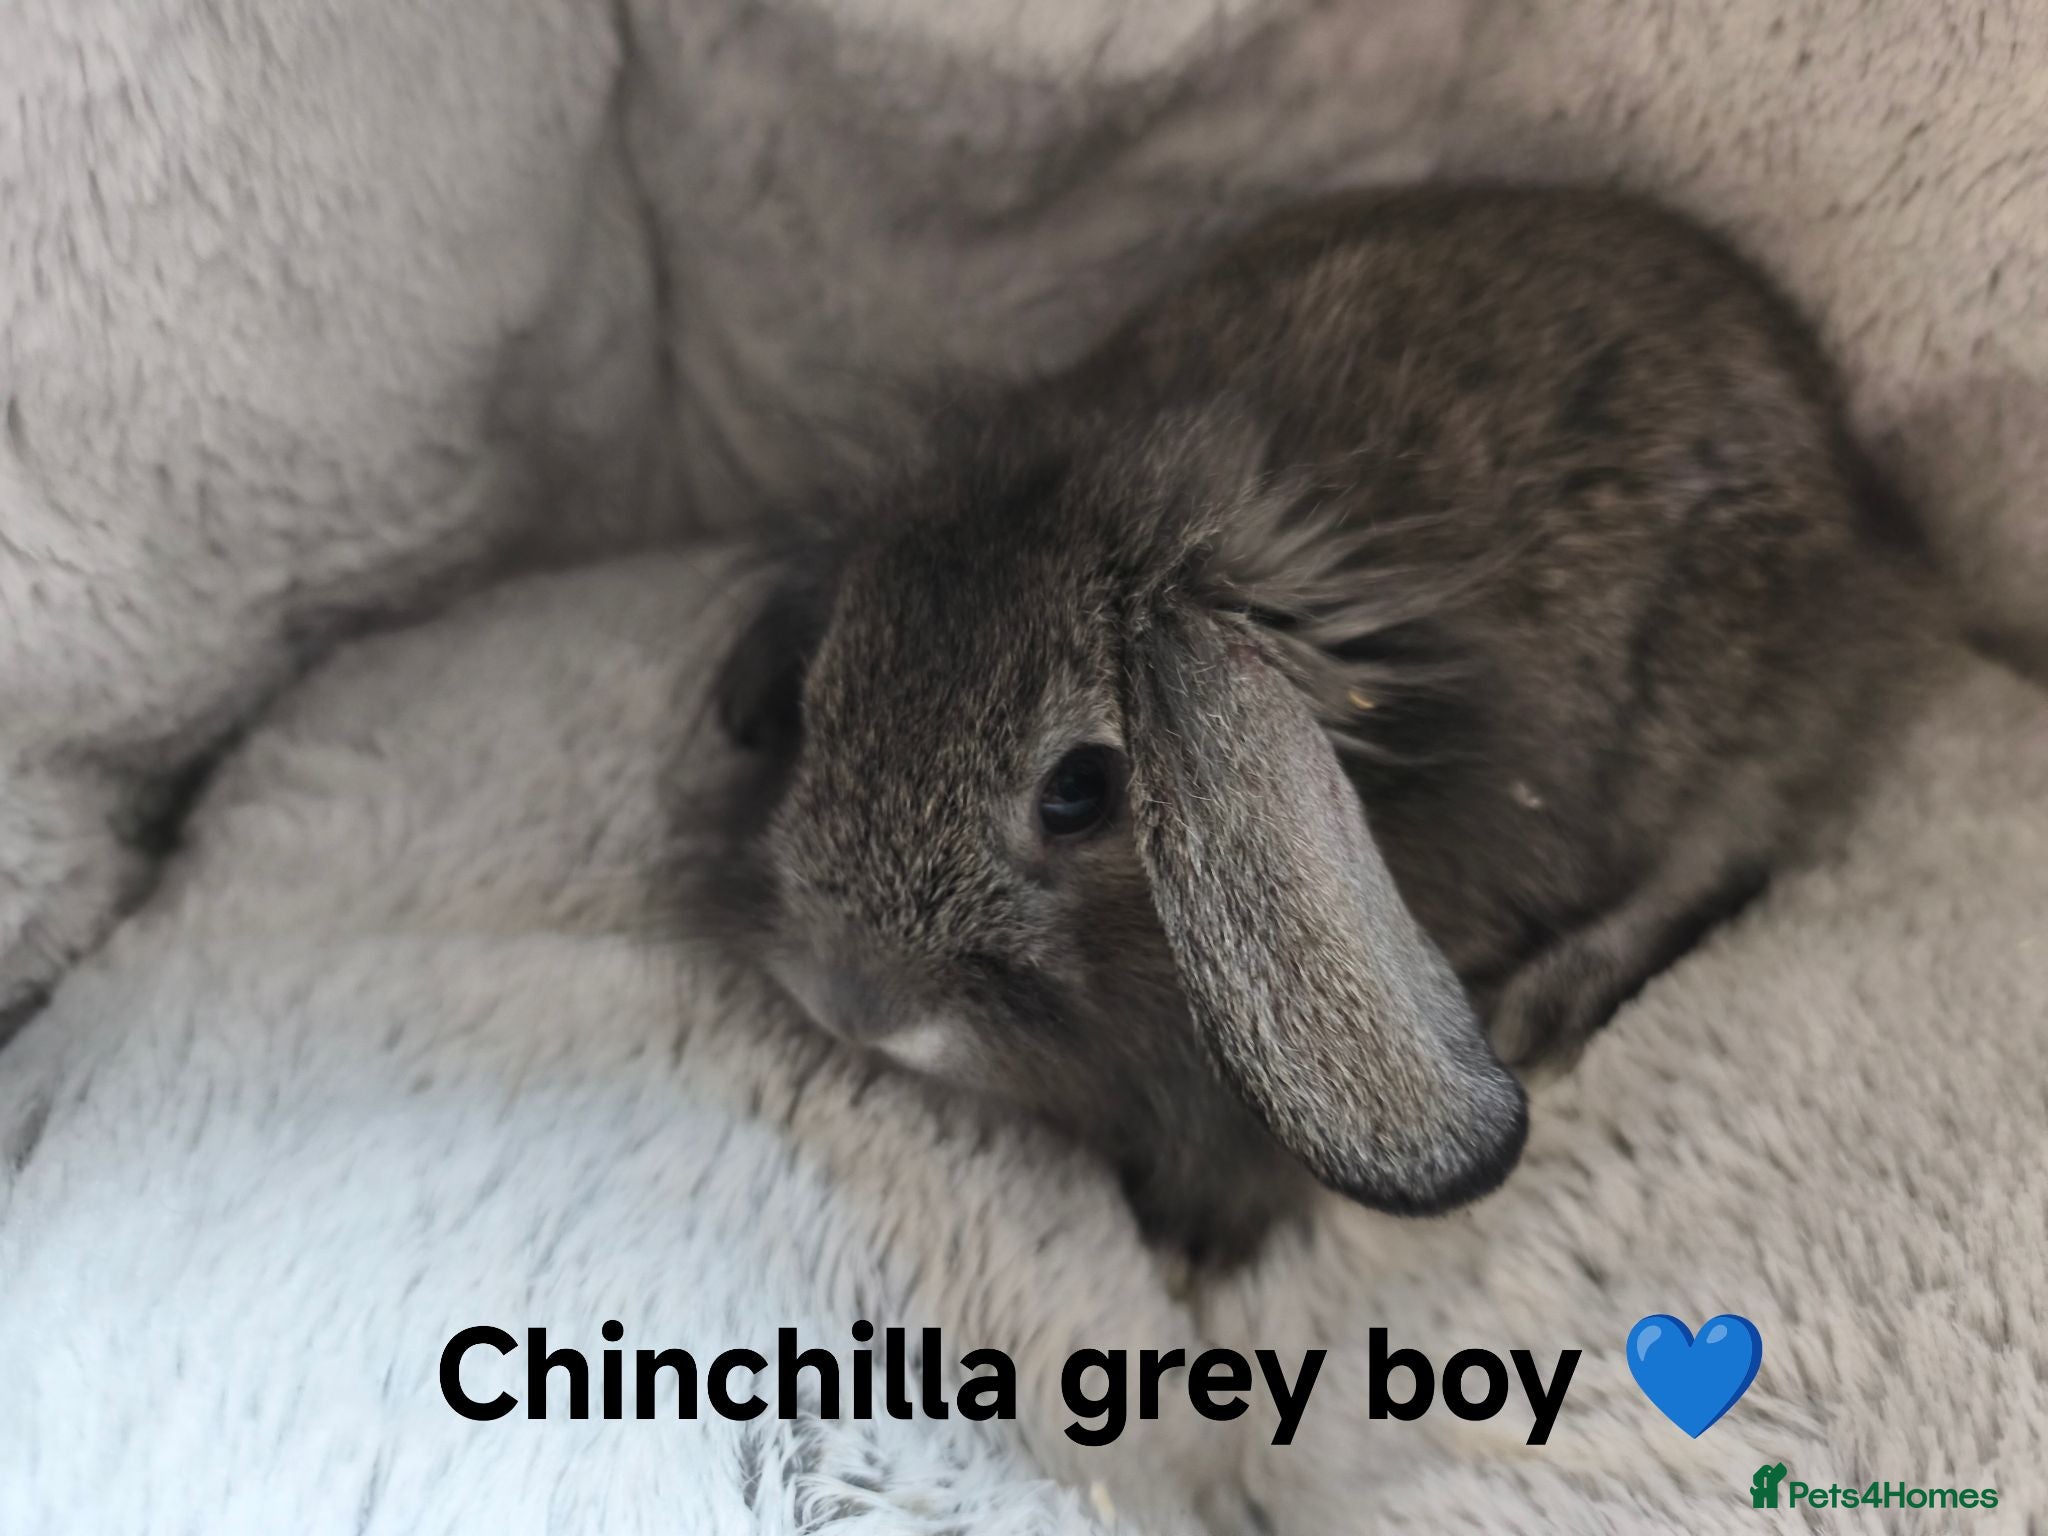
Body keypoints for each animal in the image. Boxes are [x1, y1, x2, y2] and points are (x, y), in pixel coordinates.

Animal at [703, 185, 1938, 1265]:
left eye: (1079, 791)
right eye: (815, 702)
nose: (848, 1004)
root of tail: (1860, 508)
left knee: (1721, 853)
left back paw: (1553, 998)